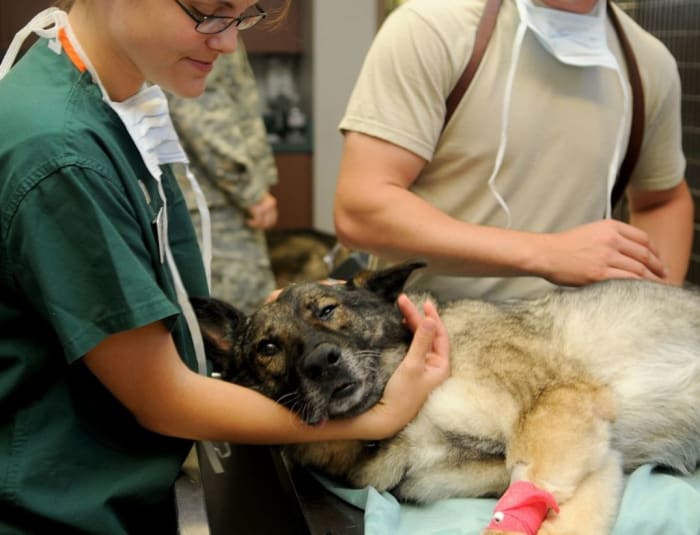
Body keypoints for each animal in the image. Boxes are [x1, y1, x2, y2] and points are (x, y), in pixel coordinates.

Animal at [191, 262, 700, 532]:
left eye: (328, 310)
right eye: (268, 347)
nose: (322, 361)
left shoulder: (556, 407)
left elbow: (533, 490)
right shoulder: (592, 458)